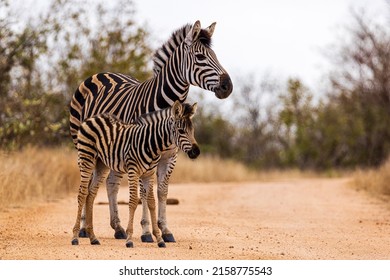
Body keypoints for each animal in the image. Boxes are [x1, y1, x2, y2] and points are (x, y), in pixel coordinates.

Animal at [71, 100, 200, 247]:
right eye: (181, 131)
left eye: (193, 130)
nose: (196, 152)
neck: (150, 143)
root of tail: (92, 118)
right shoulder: (133, 171)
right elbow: (133, 202)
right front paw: (129, 239)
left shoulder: (149, 174)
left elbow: (151, 202)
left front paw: (159, 239)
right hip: (86, 158)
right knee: (82, 194)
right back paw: (75, 237)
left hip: (101, 165)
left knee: (91, 194)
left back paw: (93, 238)